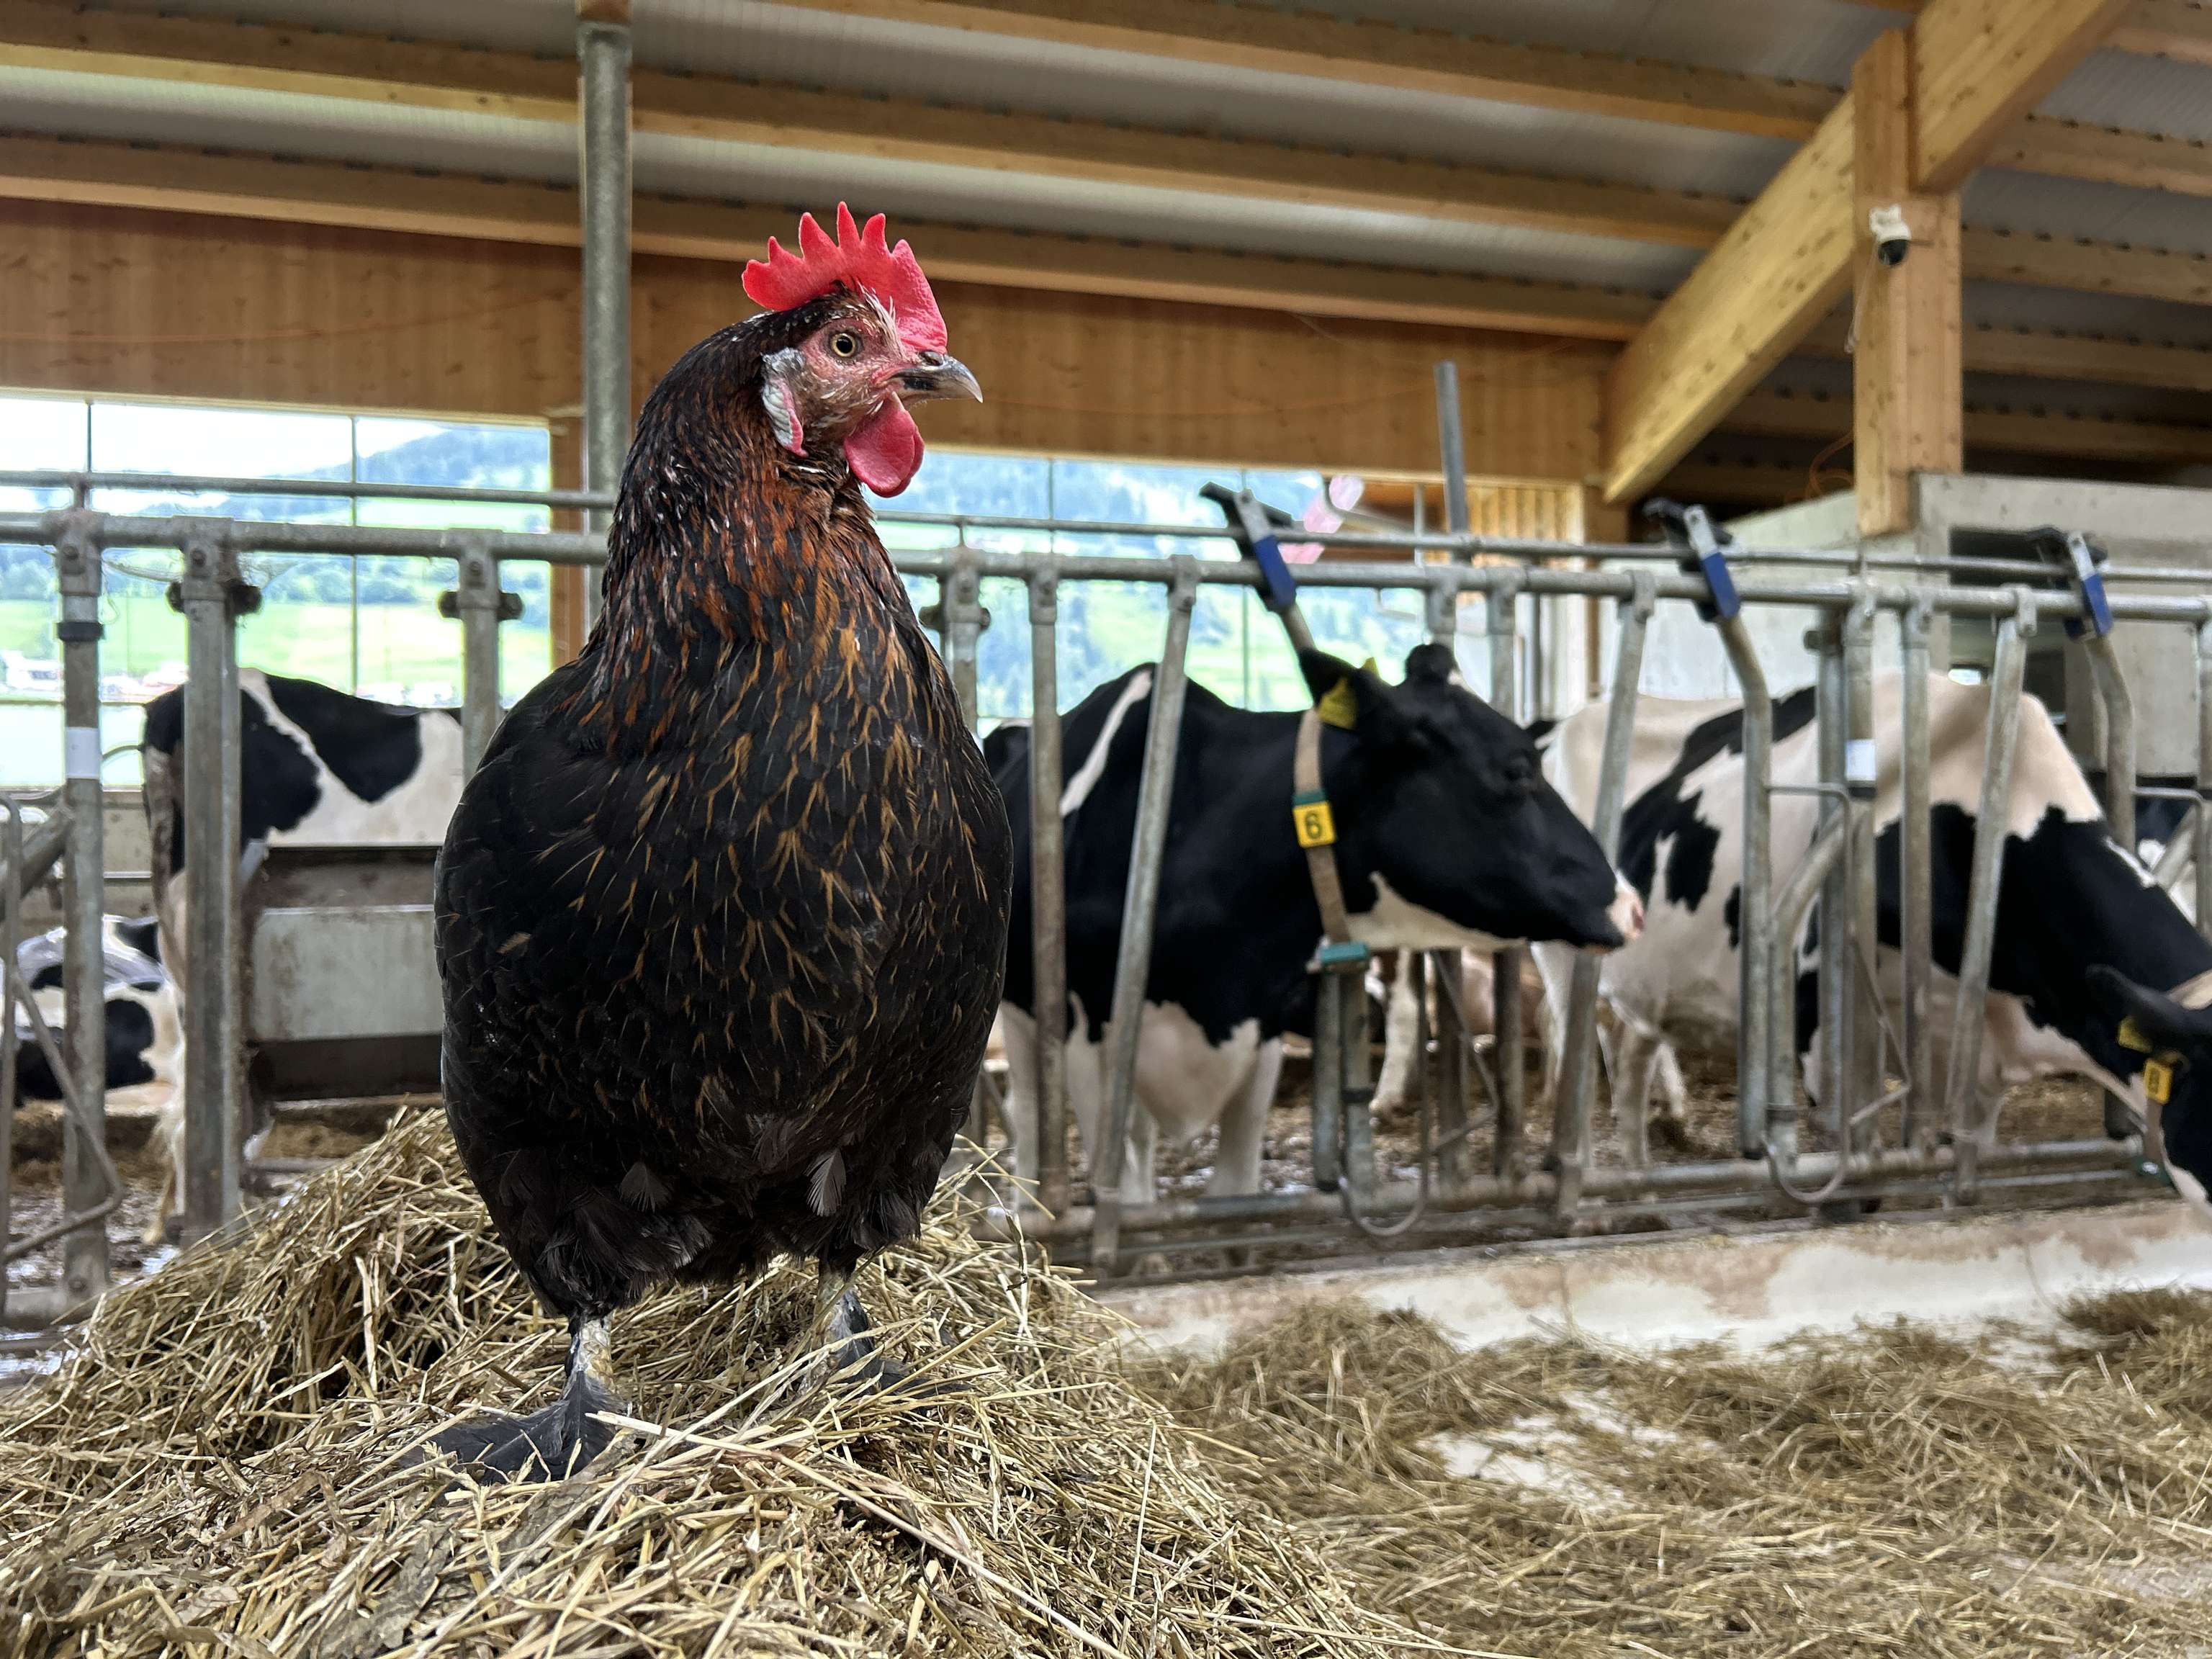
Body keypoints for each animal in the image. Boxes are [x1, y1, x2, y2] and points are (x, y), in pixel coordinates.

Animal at [993, 643, 1642, 1207]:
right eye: (1517, 770)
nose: (1631, 906)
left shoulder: (1262, 1023)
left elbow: (1232, 1186)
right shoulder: (1087, 1031)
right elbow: (1122, 1188)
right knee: (1028, 1111)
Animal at [1527, 674, 2212, 1214]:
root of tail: (1559, 723)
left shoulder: (1982, 1051)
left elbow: (1963, 1155)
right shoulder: (1822, 1022)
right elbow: (1851, 1163)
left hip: (1653, 983)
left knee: (1632, 1066)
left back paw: (1643, 1193)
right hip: (1565, 961)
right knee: (1581, 1052)